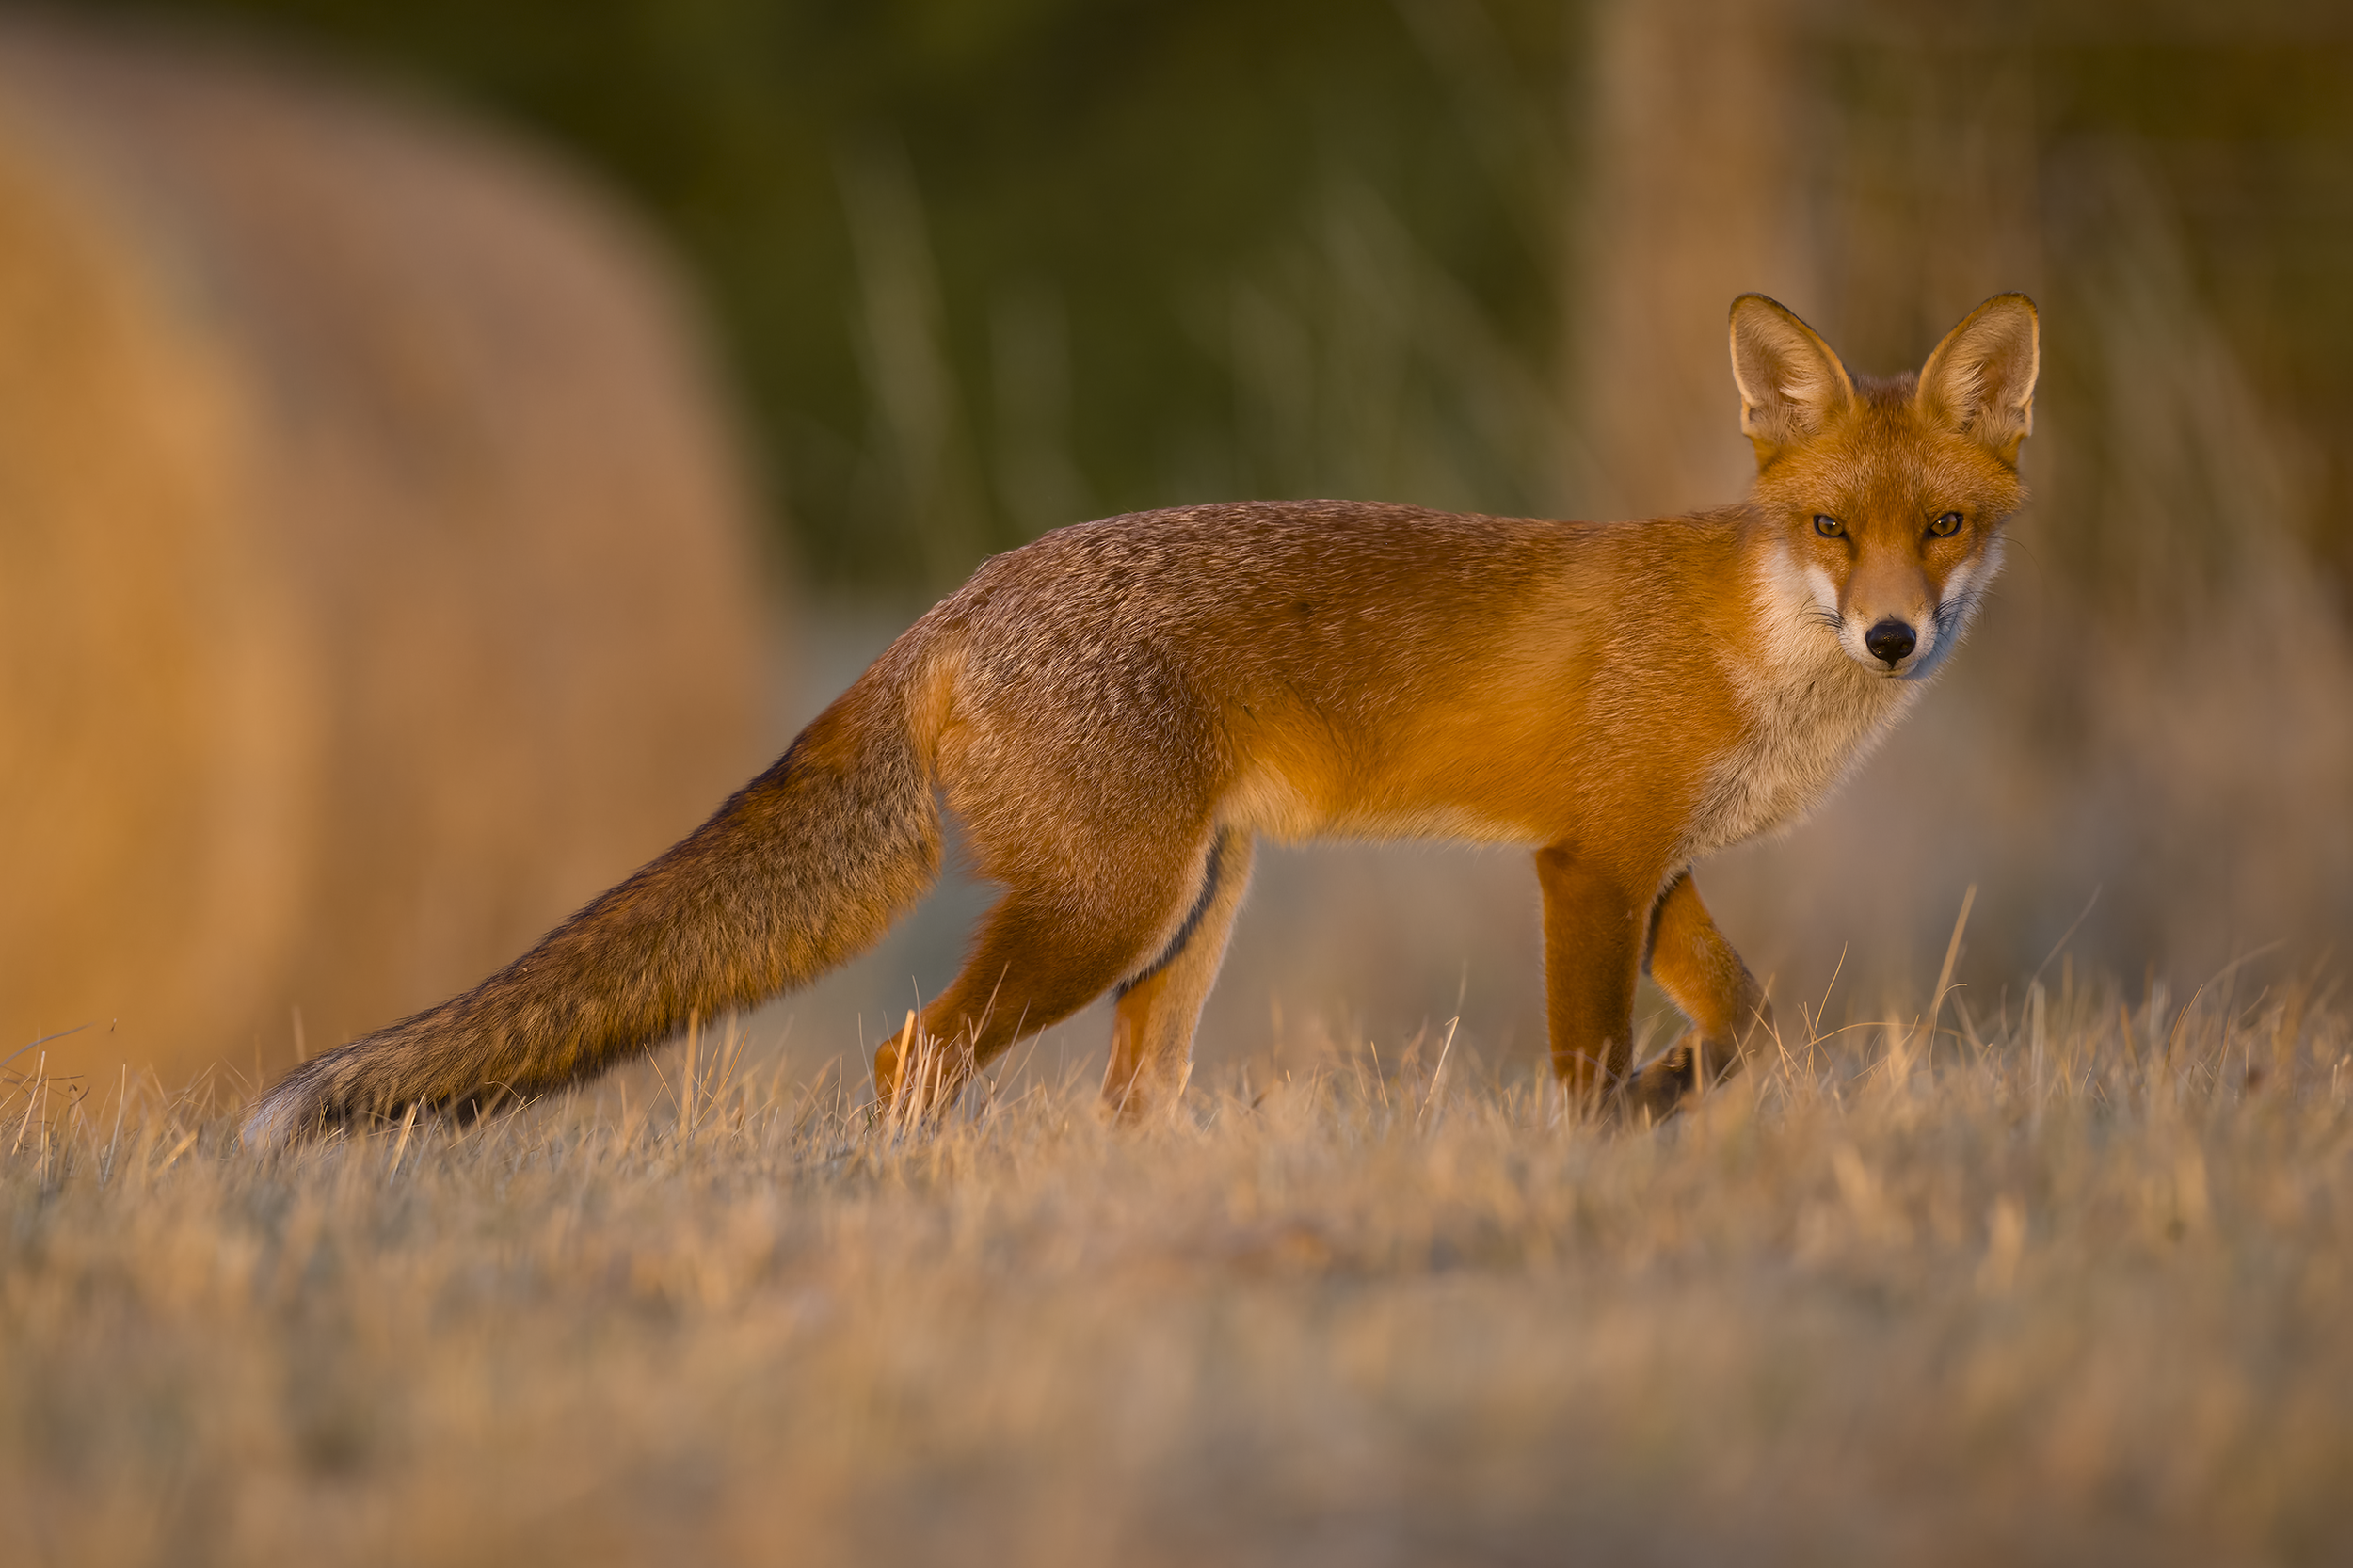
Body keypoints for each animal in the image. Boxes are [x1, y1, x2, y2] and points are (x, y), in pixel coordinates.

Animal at [241, 291, 2039, 1146]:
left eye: (1942, 528)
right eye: (1831, 530)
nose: (1895, 635)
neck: (1766, 654)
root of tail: (950, 603)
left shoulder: (1652, 865)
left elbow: (1751, 1021)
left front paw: (1680, 1099)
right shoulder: (1587, 865)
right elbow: (1591, 1057)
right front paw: (1606, 1146)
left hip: (1191, 912)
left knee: (1125, 1093)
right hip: (1115, 907)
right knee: (909, 1052)